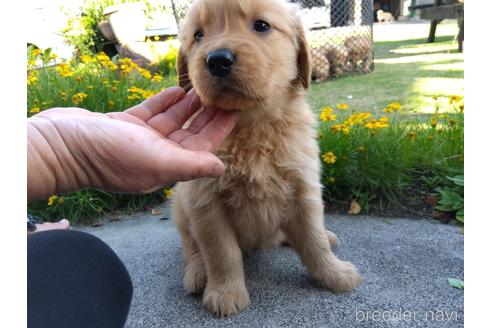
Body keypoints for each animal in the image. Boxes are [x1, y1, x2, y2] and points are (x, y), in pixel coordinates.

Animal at [173, 0, 362, 318]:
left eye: (261, 25)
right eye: (198, 36)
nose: (217, 60)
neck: (252, 126)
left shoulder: (304, 188)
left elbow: (313, 240)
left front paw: (334, 274)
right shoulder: (205, 201)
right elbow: (221, 253)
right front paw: (225, 293)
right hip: (180, 207)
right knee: (192, 248)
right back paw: (197, 273)